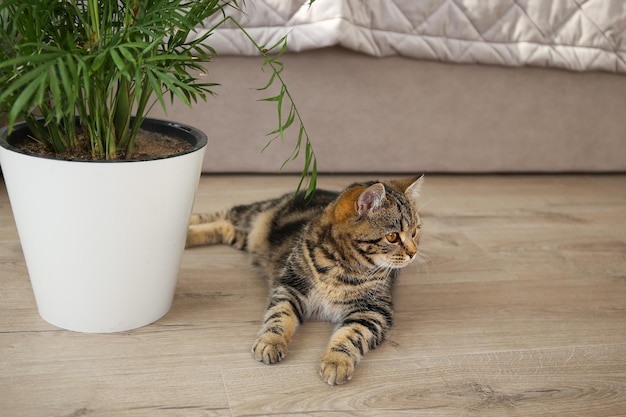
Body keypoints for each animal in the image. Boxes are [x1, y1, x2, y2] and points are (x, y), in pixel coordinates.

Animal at [183, 176, 422, 384]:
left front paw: (336, 361)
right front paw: (271, 341)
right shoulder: (291, 285)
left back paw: (189, 235)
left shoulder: (374, 310)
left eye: (415, 232)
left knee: (225, 227)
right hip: (253, 212)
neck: (342, 267)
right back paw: (185, 228)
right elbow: (280, 315)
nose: (413, 253)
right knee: (222, 214)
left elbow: (351, 335)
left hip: (246, 239)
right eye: (392, 236)